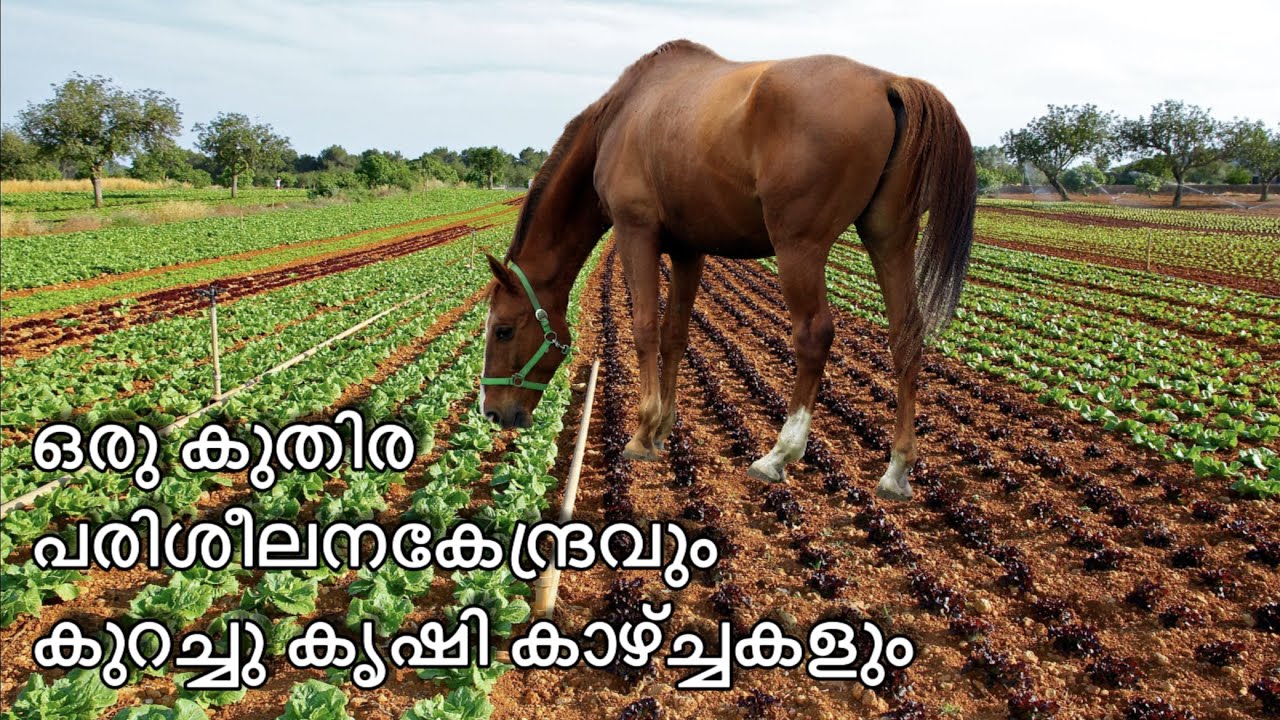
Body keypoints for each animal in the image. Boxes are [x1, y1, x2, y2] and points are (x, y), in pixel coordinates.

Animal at [480, 40, 975, 501]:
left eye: (502, 330)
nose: (492, 412)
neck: (619, 120)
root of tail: (888, 82)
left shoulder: (635, 232)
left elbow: (644, 328)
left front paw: (641, 433)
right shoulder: (688, 250)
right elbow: (674, 335)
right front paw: (661, 429)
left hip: (799, 247)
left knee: (814, 335)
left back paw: (779, 454)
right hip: (889, 239)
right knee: (906, 336)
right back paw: (897, 469)